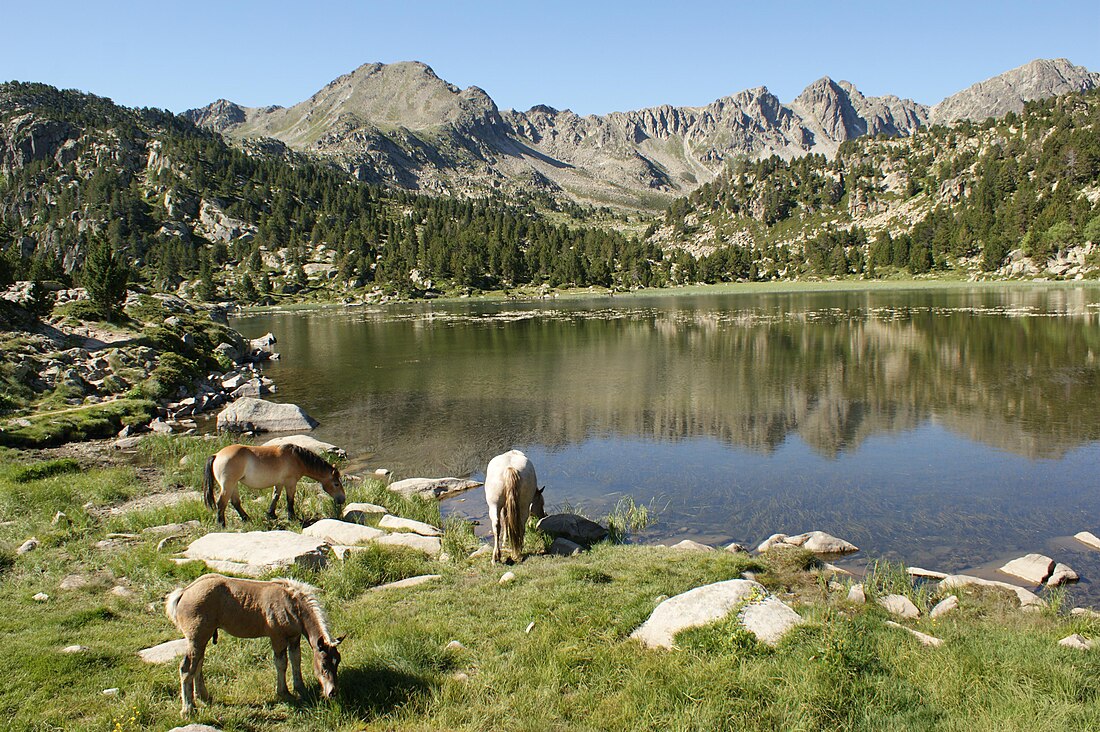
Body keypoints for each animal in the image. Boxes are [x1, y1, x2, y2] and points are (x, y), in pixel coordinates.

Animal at [163, 572, 338, 713]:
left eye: (337, 663)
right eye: (324, 666)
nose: (332, 693)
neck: (292, 605)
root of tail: (184, 592)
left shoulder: (294, 637)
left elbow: (296, 660)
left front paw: (300, 687)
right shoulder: (277, 638)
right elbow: (281, 663)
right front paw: (284, 693)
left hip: (202, 638)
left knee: (198, 664)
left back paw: (203, 696)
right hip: (196, 638)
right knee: (187, 668)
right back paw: (188, 709)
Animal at [202, 440, 345, 526]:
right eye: (336, 484)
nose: (342, 499)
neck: (297, 458)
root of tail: (216, 455)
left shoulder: (280, 483)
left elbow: (275, 497)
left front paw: (271, 514)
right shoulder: (290, 482)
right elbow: (290, 500)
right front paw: (292, 517)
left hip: (234, 485)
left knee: (235, 502)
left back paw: (246, 518)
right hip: (228, 485)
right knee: (221, 503)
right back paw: (221, 524)